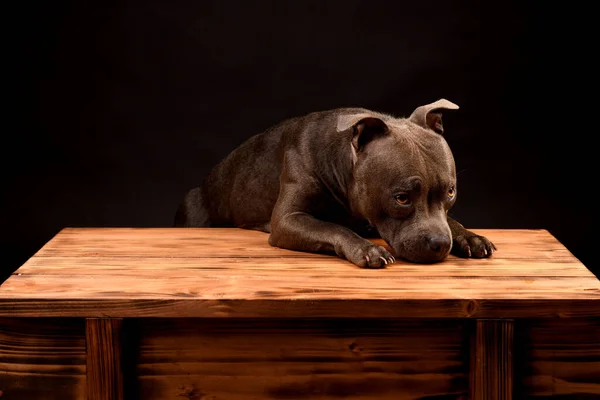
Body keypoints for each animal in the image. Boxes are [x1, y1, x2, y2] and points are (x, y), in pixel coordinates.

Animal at [175, 99, 496, 268]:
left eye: (450, 192)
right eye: (402, 198)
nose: (441, 244)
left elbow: (450, 220)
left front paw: (469, 236)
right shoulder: (288, 220)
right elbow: (332, 228)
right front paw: (367, 249)